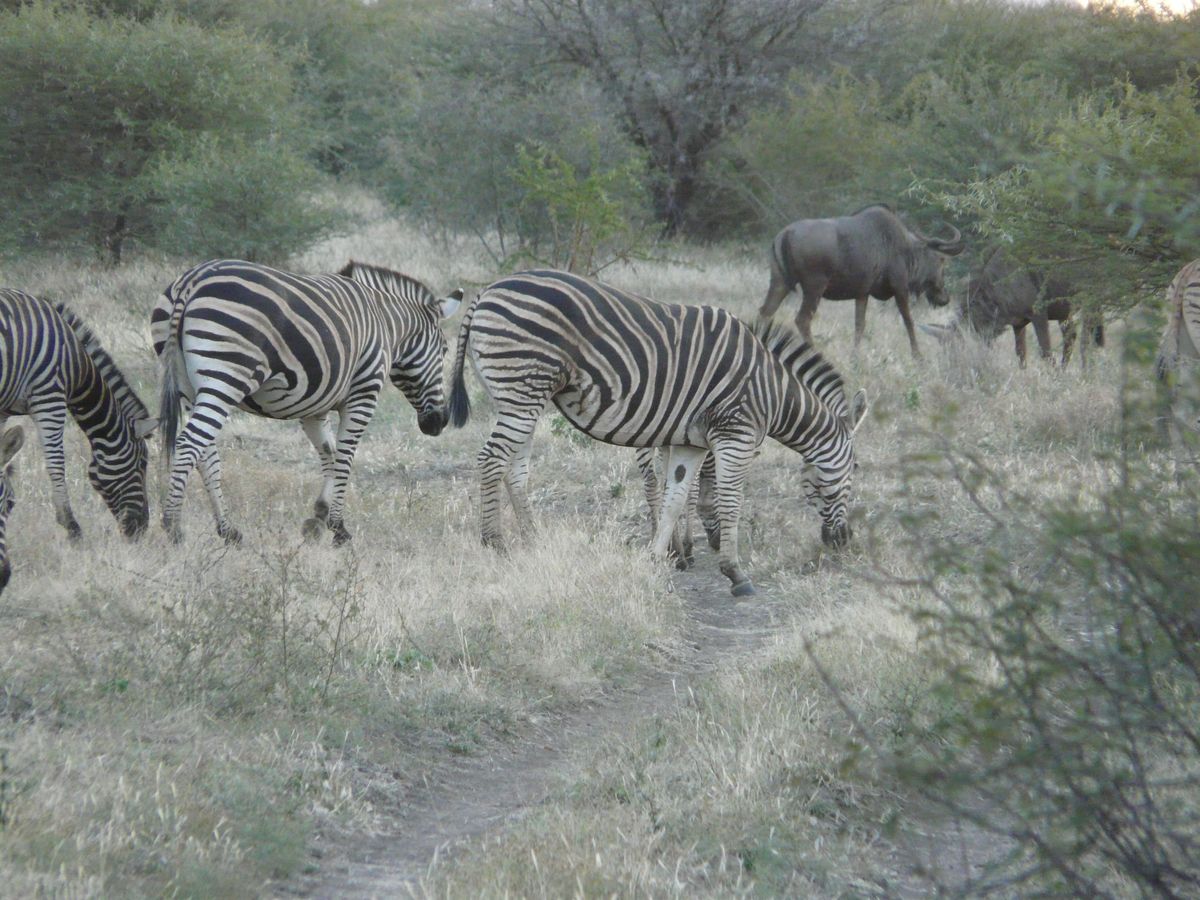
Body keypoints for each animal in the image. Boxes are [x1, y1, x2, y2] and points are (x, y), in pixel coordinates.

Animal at [0, 289, 158, 540]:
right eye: (142, 464)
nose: (140, 529)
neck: (77, 366)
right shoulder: (49, 395)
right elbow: (56, 463)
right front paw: (71, 527)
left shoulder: (4, 407)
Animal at [151, 259, 462, 545]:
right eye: (445, 350)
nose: (440, 422)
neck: (387, 323)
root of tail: (191, 281)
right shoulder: (364, 392)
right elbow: (345, 456)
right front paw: (338, 527)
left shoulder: (313, 406)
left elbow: (330, 453)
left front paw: (318, 517)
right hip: (226, 376)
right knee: (190, 443)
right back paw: (173, 527)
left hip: (188, 388)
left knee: (206, 454)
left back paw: (228, 530)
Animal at [635, 320, 866, 564]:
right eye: (855, 466)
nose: (845, 538)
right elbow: (688, 487)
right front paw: (682, 548)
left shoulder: (674, 434)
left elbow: (672, 483)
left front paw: (674, 546)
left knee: (651, 481)